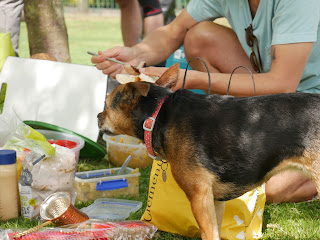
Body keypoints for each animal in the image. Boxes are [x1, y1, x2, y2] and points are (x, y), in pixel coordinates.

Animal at [97, 62, 320, 239]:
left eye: (107, 105)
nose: (98, 116)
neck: (159, 114)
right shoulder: (214, 201)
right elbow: (215, 232)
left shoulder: (199, 195)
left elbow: (208, 234)